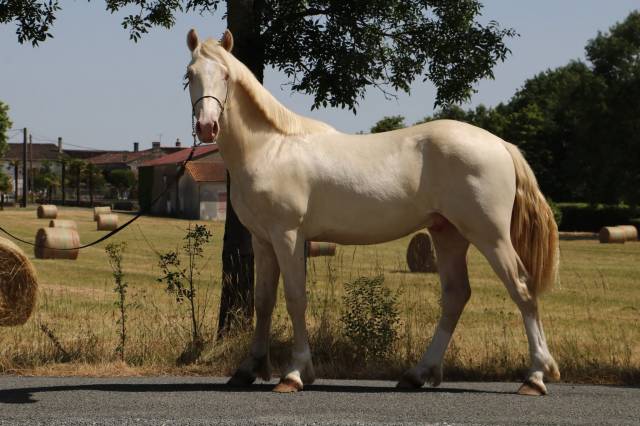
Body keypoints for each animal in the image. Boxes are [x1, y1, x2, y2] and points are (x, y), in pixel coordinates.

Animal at [185, 29, 560, 396]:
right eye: (190, 74)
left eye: (225, 75)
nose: (206, 127)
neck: (271, 148)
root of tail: (501, 145)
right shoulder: (263, 240)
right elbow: (263, 302)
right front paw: (248, 369)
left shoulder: (288, 236)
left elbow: (295, 299)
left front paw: (294, 374)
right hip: (447, 234)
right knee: (456, 296)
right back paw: (418, 374)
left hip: (489, 235)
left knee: (522, 289)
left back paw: (535, 377)